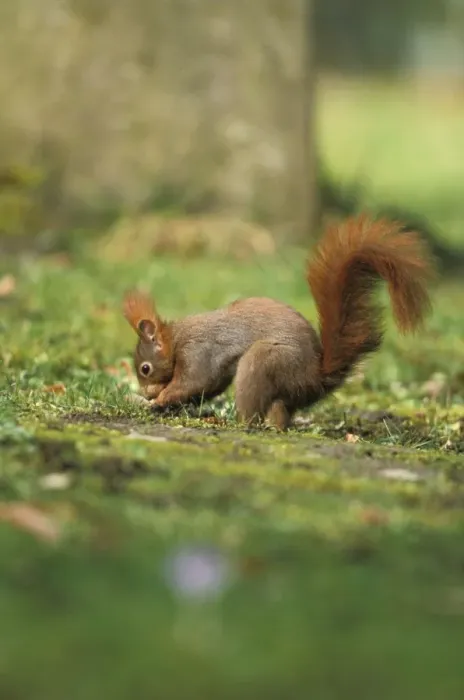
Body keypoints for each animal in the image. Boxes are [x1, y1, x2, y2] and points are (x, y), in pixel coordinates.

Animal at [123, 215, 433, 430]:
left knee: (255, 412)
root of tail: (316, 377)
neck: (176, 339)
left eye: (145, 368)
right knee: (280, 412)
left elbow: (194, 381)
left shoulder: (199, 351)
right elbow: (205, 389)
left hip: (266, 362)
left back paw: (234, 423)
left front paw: (159, 399)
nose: (147, 391)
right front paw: (155, 403)